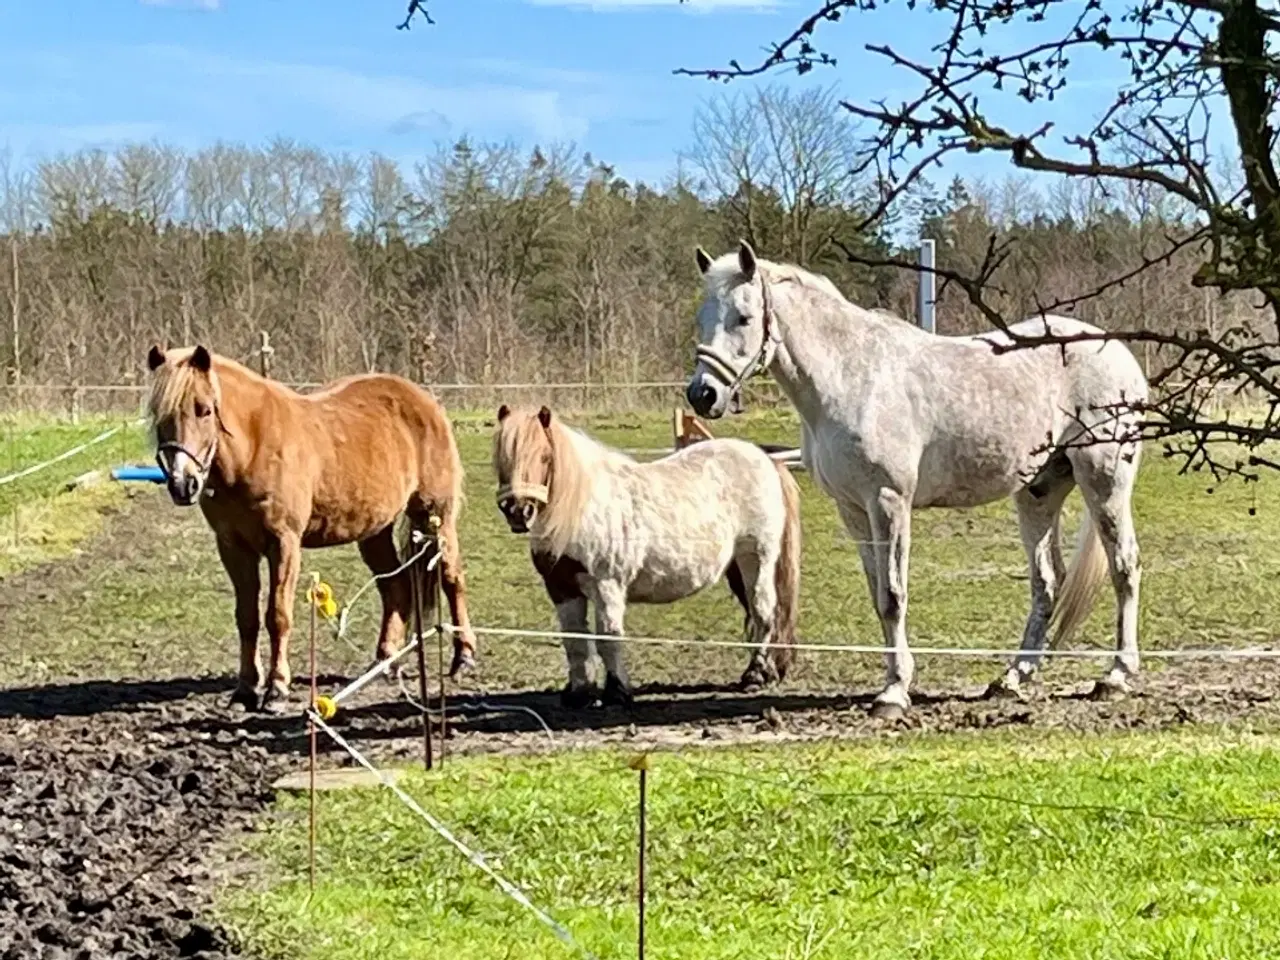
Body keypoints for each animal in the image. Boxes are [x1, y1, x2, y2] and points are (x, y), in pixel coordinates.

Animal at [145, 345, 476, 716]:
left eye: (203, 409)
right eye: (159, 414)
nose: (182, 484)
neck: (255, 446)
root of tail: (425, 401)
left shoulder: (283, 544)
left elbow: (277, 615)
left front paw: (276, 689)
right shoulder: (233, 546)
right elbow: (247, 617)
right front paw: (246, 689)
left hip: (435, 516)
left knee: (451, 578)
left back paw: (463, 656)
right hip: (375, 531)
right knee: (395, 585)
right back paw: (385, 662)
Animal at [491, 401, 798, 711]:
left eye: (544, 457)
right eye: (501, 457)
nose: (518, 511)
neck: (580, 509)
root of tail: (764, 458)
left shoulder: (607, 587)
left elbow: (608, 638)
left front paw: (617, 692)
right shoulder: (561, 589)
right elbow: (575, 641)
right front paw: (580, 694)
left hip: (756, 560)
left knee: (763, 611)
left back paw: (755, 675)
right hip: (734, 567)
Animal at [691, 244, 1152, 716]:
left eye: (744, 317)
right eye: (702, 318)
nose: (702, 395)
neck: (851, 377)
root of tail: (1114, 349)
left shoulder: (888, 501)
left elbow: (893, 597)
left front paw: (894, 692)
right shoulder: (853, 510)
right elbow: (878, 595)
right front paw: (894, 681)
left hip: (1105, 480)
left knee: (1124, 567)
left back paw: (1117, 675)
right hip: (1039, 492)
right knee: (1047, 582)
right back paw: (1014, 677)